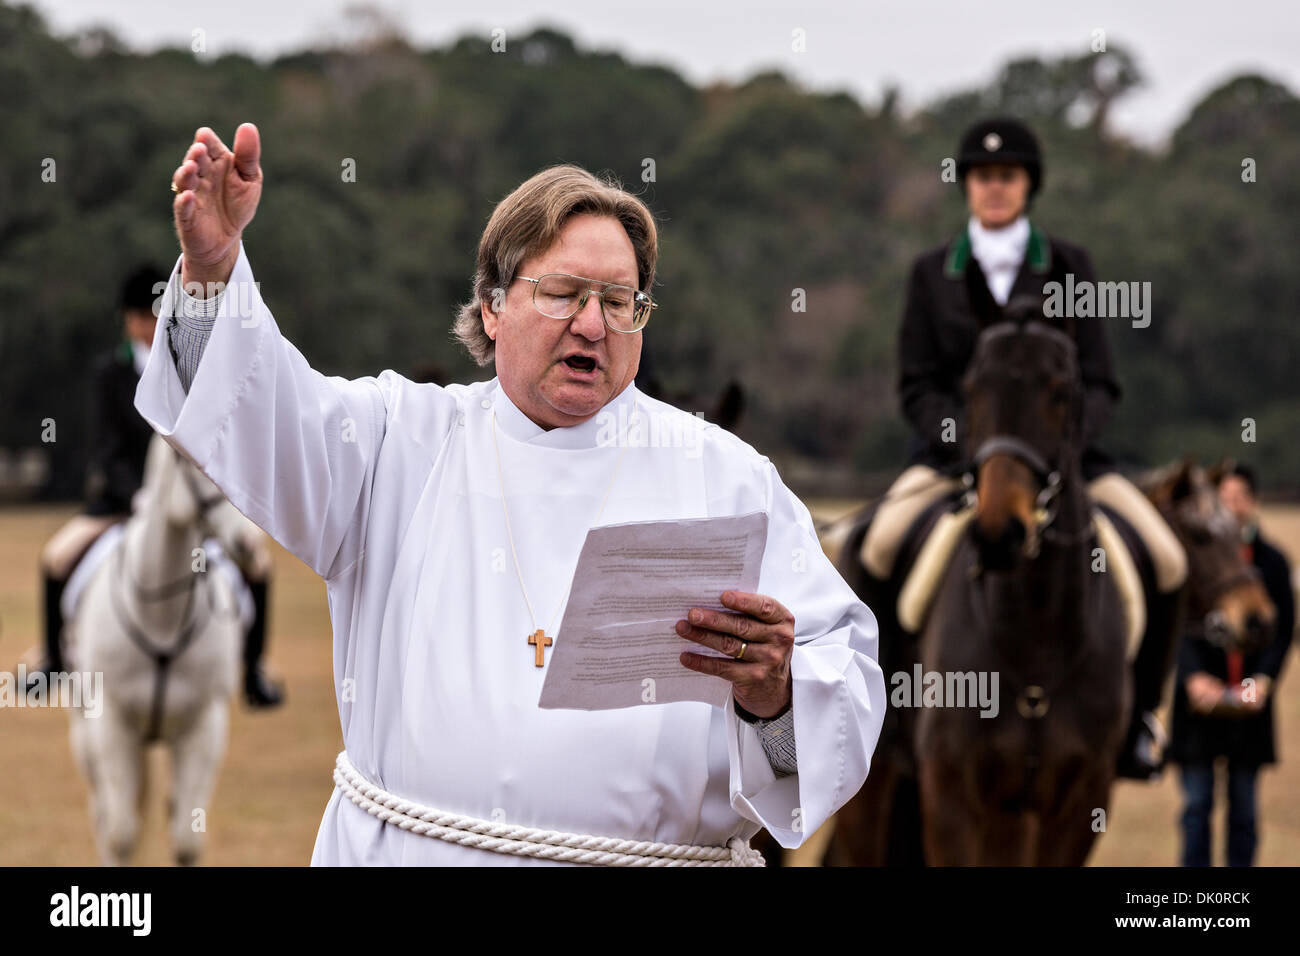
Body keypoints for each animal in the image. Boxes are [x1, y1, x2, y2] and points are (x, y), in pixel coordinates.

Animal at [65, 434, 258, 868]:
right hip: (85, 736)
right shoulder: (111, 722)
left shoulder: (205, 724)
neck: (161, 618)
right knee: (104, 817)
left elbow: (186, 840)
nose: (250, 545)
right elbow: (121, 836)